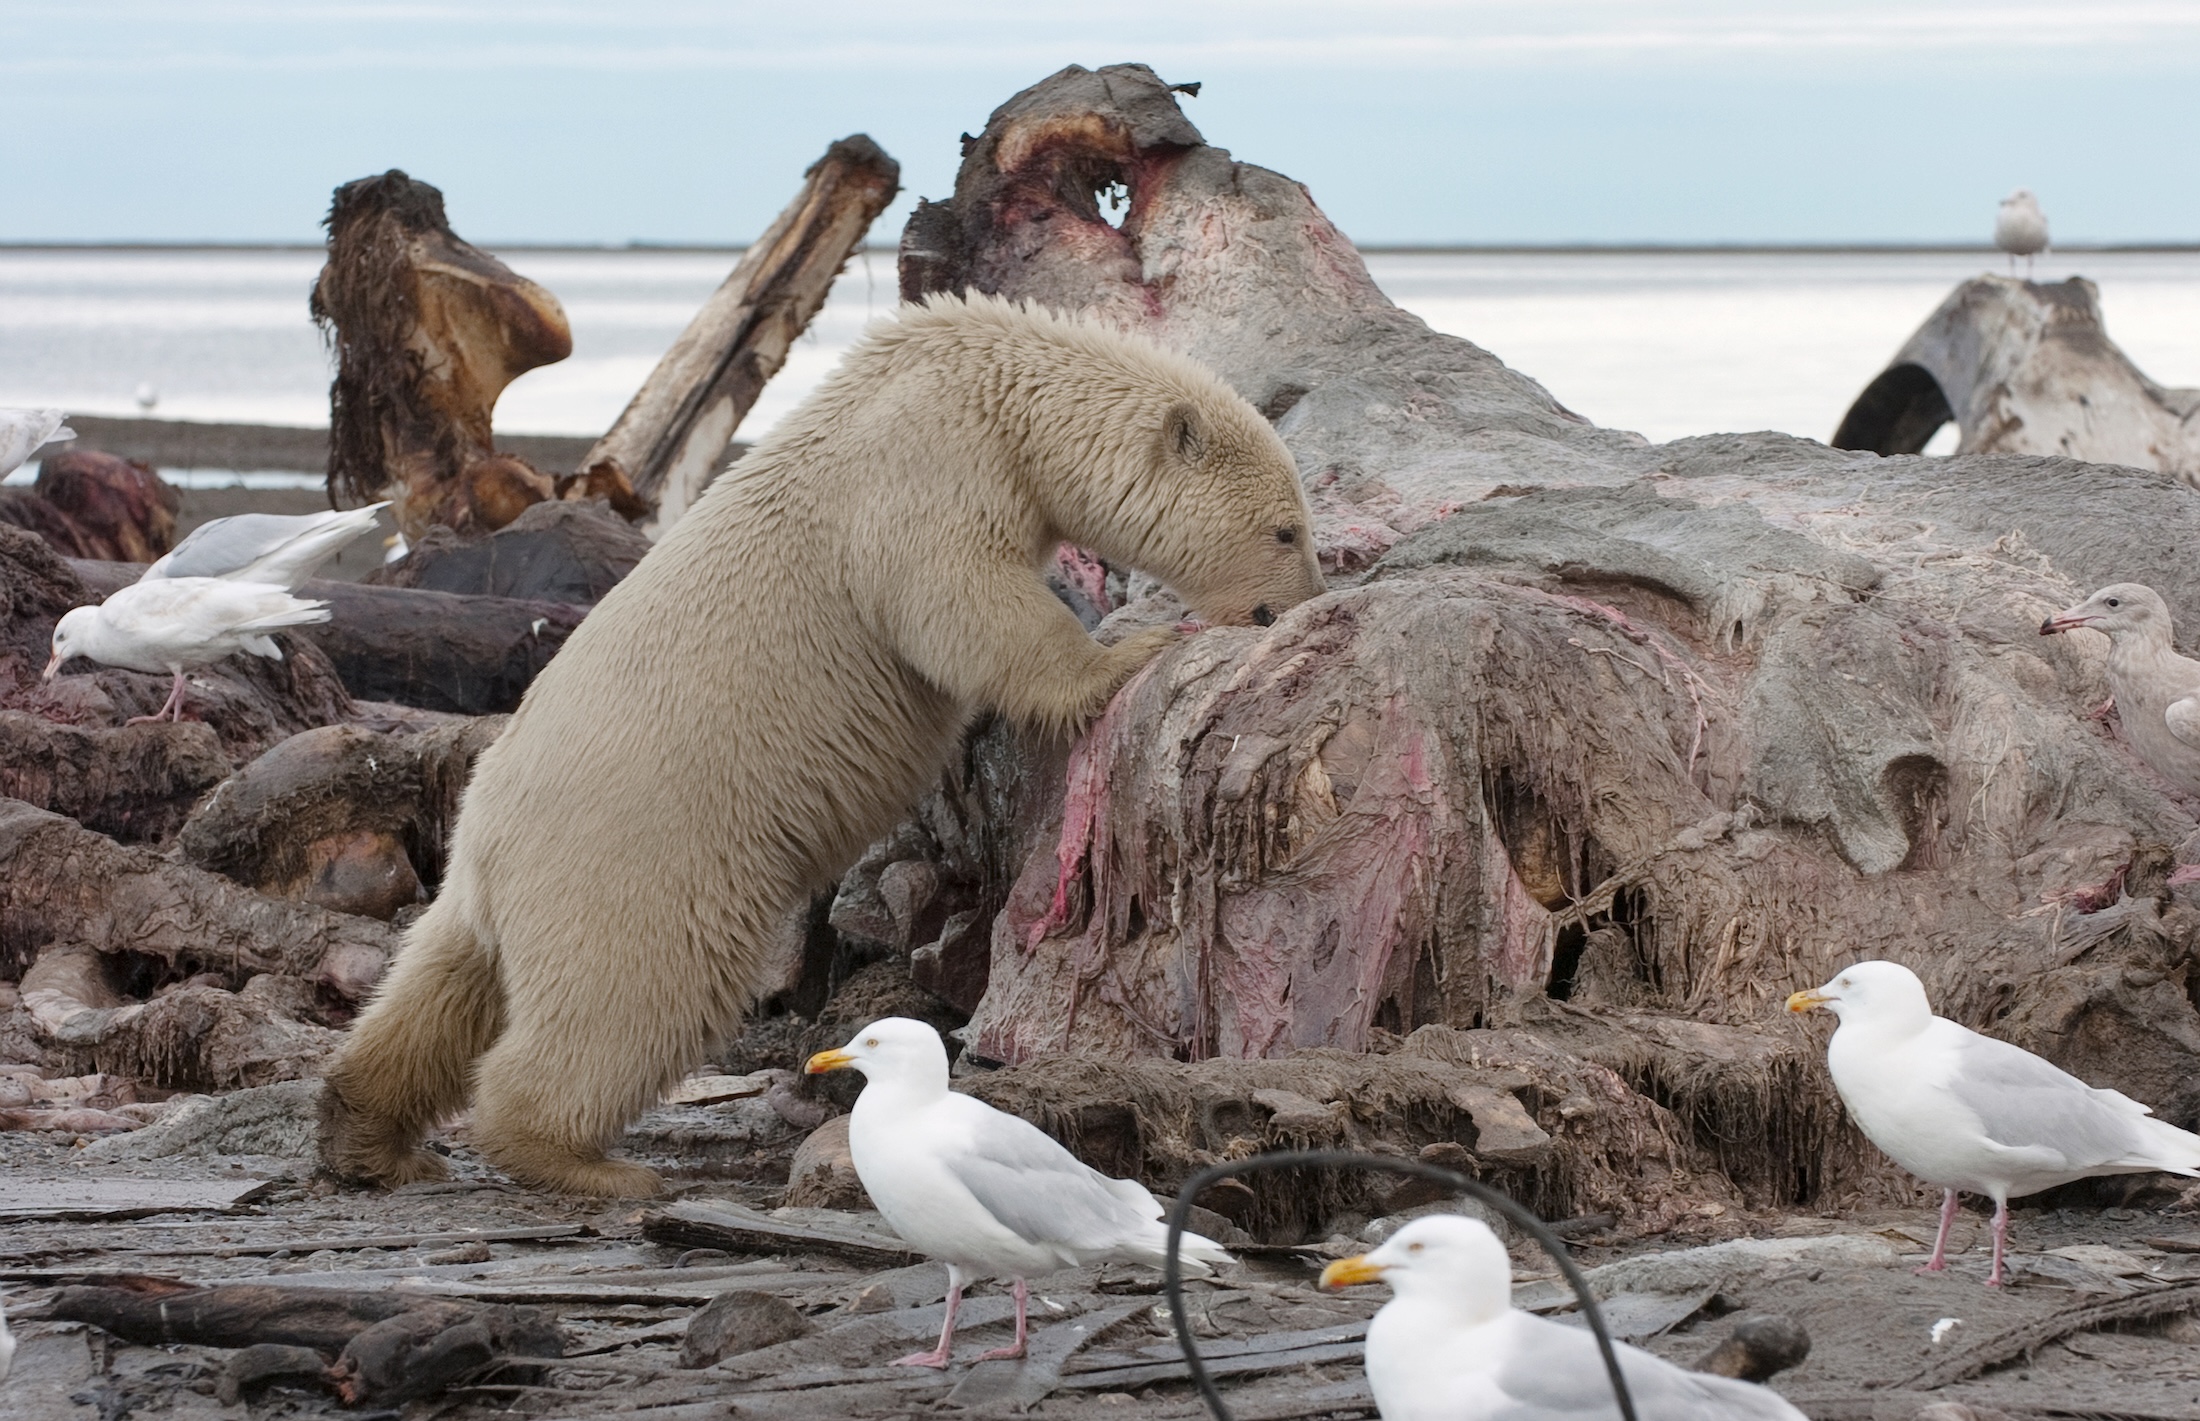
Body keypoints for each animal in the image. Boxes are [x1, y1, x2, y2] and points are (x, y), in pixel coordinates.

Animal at [318, 292, 1328, 1197]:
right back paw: (580, 1158)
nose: (1301, 601)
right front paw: (1129, 652)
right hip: (639, 855)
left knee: (435, 988)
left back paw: (367, 1131)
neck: (995, 386)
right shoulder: (926, 469)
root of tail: (489, 837)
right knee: (635, 993)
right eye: (1288, 528)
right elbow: (963, 599)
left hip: (492, 871)